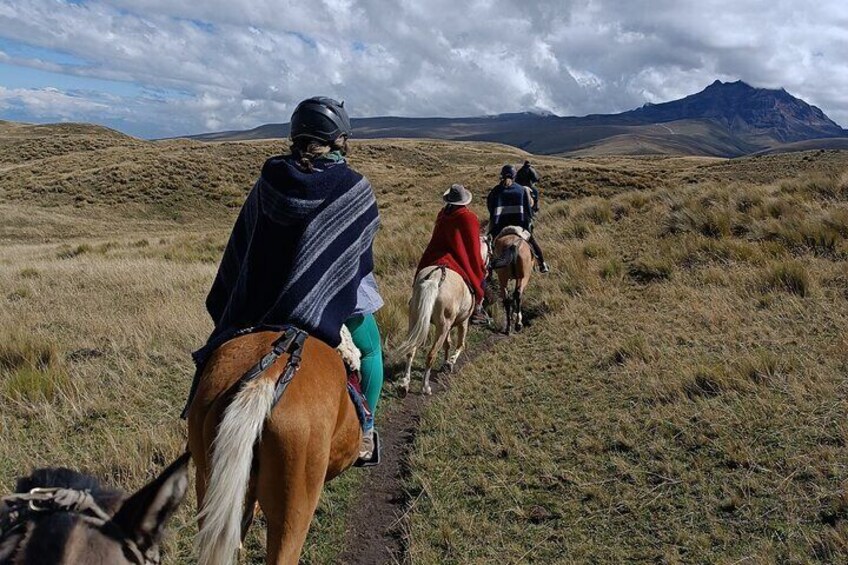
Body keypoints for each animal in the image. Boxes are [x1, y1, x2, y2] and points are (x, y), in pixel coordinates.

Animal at [396, 236, 486, 394]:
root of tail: (434, 280)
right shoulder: (463, 322)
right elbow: (460, 344)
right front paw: (449, 363)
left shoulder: (447, 327)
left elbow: (447, 344)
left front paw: (445, 362)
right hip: (442, 326)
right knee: (431, 355)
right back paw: (425, 387)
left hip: (415, 320)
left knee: (411, 350)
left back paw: (404, 384)